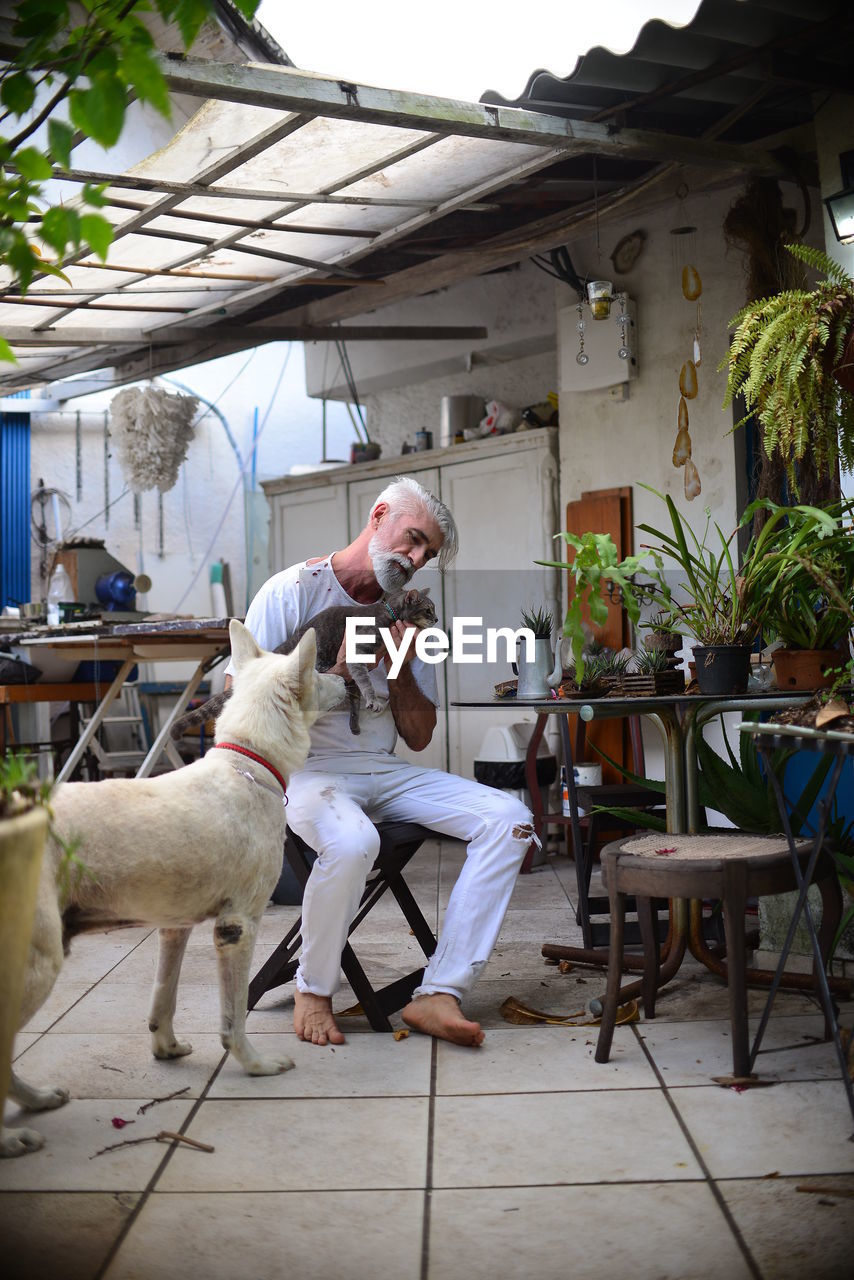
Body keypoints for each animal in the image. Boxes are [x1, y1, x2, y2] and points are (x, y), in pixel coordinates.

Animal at [4, 619, 343, 1162]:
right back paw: (13, 1135)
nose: (349, 680)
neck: (247, 763)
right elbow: (233, 1019)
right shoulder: (237, 928)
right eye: (318, 670)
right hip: (36, 964)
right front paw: (255, 1064)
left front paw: (166, 1050)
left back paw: (35, 1100)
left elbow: (163, 998)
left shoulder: (173, 927)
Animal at [174, 586, 440, 742]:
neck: (388, 613)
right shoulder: (357, 652)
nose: (437, 619)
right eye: (428, 610)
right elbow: (365, 681)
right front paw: (372, 699)